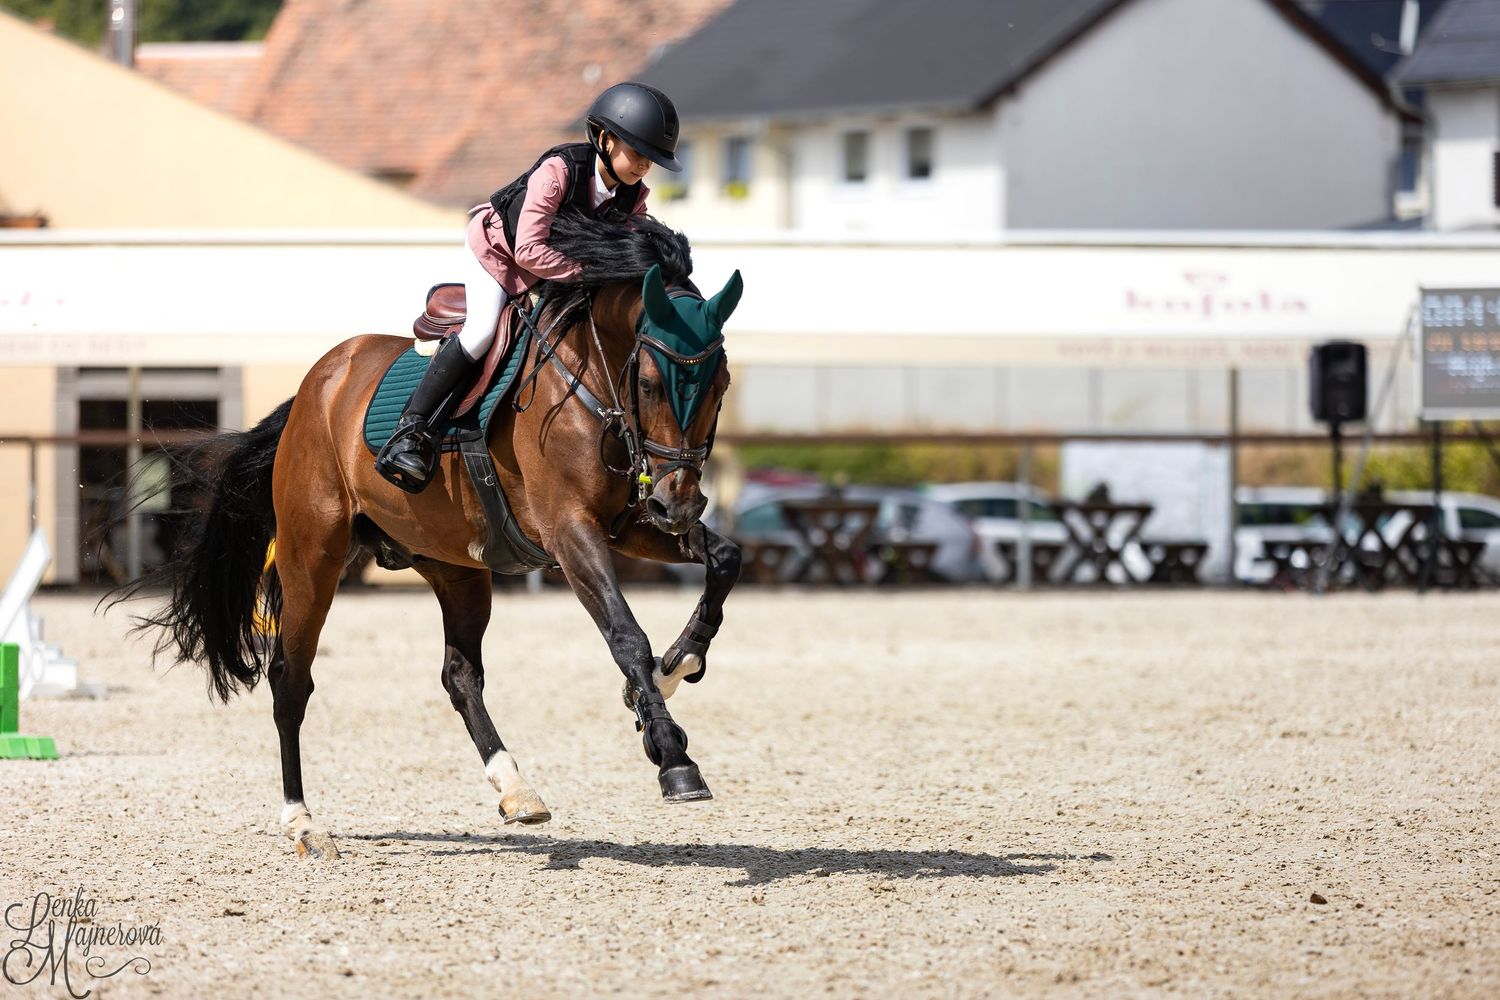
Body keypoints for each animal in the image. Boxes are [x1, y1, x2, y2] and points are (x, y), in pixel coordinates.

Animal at [111, 212, 744, 859]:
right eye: (650, 383)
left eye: (720, 383)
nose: (680, 502)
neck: (592, 378)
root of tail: (316, 386)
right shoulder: (571, 533)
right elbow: (625, 634)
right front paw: (673, 756)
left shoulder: (629, 527)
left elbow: (725, 557)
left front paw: (679, 663)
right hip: (313, 554)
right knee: (291, 677)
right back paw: (303, 822)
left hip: (455, 567)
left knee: (459, 675)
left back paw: (516, 789)